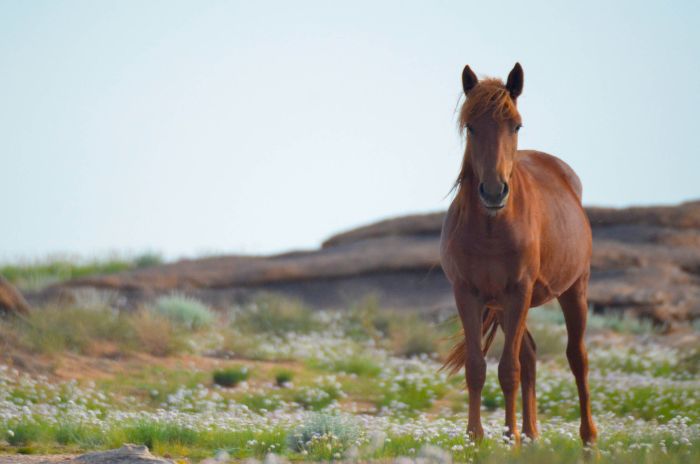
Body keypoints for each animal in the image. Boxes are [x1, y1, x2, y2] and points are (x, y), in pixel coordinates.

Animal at [442, 63, 596, 444]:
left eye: (516, 125)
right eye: (471, 126)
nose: (494, 191)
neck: (490, 231)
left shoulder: (518, 291)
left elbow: (507, 370)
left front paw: (505, 440)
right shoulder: (467, 294)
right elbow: (476, 367)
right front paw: (476, 439)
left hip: (573, 290)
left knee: (577, 358)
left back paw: (588, 439)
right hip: (506, 306)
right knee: (530, 355)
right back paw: (527, 435)